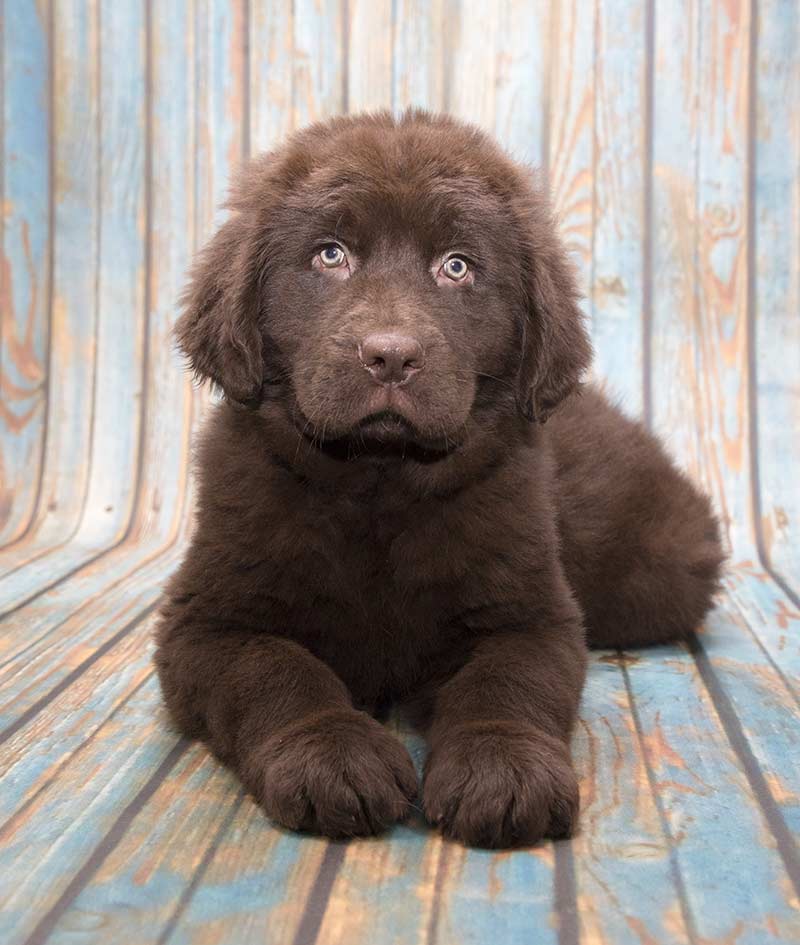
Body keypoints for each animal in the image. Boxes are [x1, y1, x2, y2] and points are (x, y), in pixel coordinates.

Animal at [156, 110, 724, 848]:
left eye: (456, 267)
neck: (379, 486)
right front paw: (333, 754)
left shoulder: (530, 614)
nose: (390, 356)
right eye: (330, 255)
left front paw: (503, 770)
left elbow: (505, 684)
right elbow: (278, 673)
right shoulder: (207, 622)